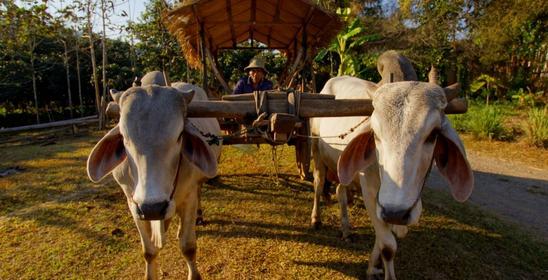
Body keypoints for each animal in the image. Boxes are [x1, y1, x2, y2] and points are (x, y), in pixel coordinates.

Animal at [88, 79, 220, 280]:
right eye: (124, 137)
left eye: (180, 135)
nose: (152, 208)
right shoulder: (133, 203)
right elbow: (149, 252)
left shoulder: (188, 197)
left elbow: (188, 247)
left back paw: (198, 216)